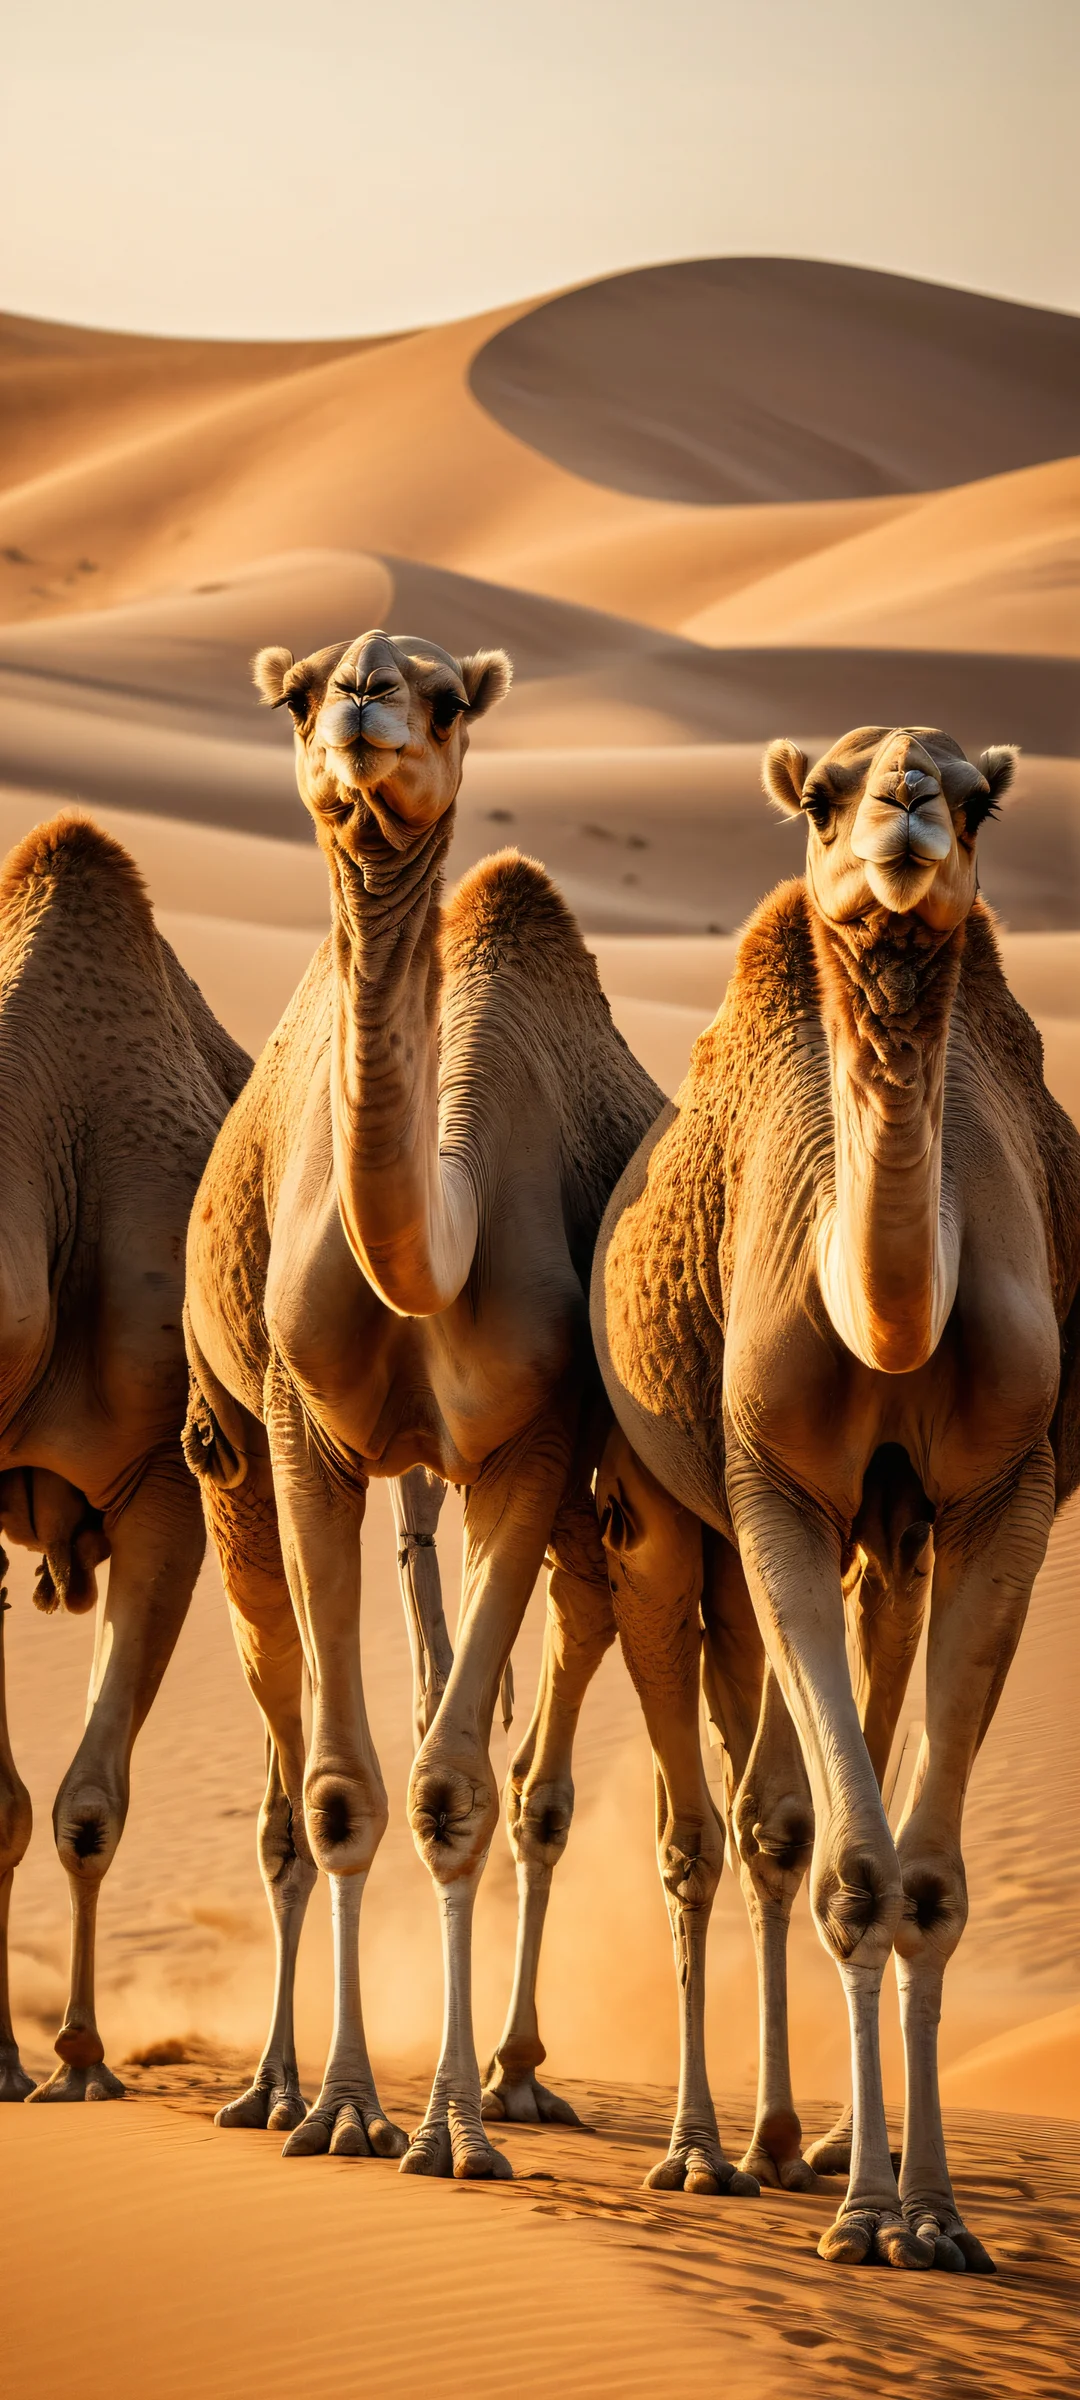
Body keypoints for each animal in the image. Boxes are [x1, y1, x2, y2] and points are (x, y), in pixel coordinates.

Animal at [183, 627, 661, 2172]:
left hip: (568, 1500)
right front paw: (341, 2107)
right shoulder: (303, 1430)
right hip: (234, 1455)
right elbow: (340, 1791)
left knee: (532, 1735)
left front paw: (446, 2129)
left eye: (446, 698)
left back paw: (504, 2082)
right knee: (287, 1744)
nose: (361, 707)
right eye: (299, 688)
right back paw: (270, 2085)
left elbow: (453, 1788)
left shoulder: (532, 1444)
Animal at [592, 725, 1080, 2270]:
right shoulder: (773, 1489)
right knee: (714, 1830)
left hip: (894, 1545)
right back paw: (705, 2149)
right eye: (825, 796)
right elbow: (851, 1870)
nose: (907, 809)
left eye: (977, 798)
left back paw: (785, 2143)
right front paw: (869, 2216)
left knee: (787, 1796)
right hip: (664, 1514)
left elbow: (919, 1880)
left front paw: (930, 2215)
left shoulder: (1003, 1494)